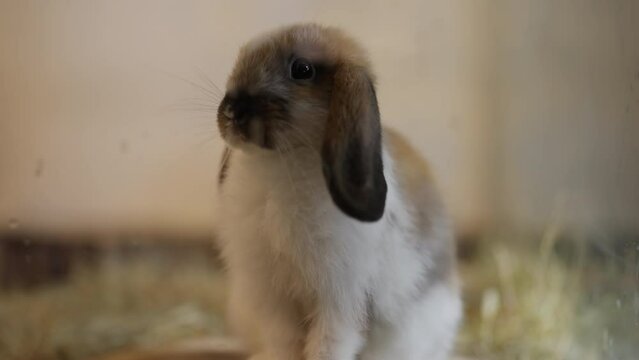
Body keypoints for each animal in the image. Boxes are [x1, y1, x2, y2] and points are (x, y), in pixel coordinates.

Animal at [214, 23, 460, 360]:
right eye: (240, 59)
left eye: (302, 70)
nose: (232, 111)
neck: (282, 162)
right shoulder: (274, 300)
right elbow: (284, 342)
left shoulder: (340, 300)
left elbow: (328, 345)